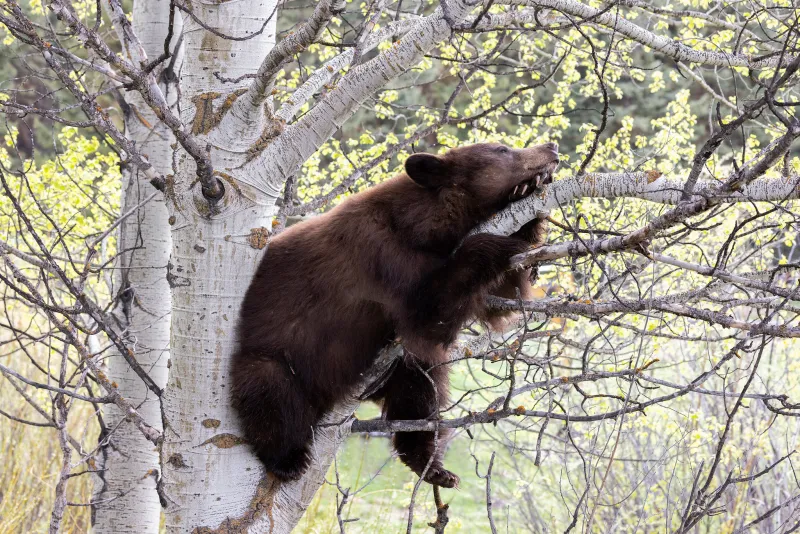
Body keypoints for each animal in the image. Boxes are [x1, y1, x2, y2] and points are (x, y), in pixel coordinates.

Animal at [230, 141, 559, 488]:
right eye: (502, 149)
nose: (551, 146)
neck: (421, 226)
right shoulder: (385, 258)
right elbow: (428, 314)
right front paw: (490, 242)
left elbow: (498, 302)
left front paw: (528, 209)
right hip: (277, 358)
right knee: (269, 392)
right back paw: (288, 460)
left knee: (419, 386)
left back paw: (431, 464)